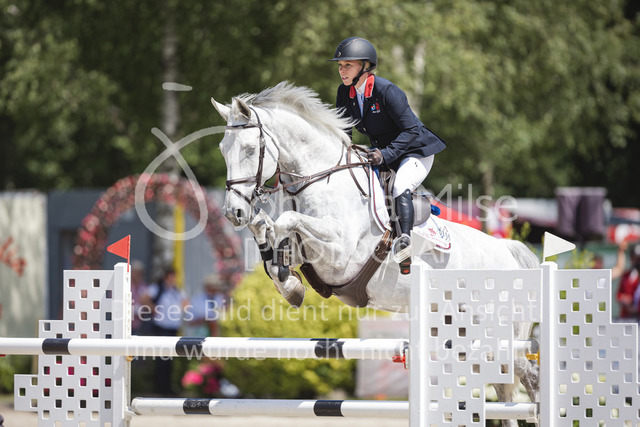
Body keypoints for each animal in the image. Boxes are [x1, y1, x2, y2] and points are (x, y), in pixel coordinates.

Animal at [211, 81, 539, 426]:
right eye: (222, 149)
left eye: (249, 149)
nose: (233, 212)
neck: (321, 178)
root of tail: (509, 251)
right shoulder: (311, 254)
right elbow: (271, 237)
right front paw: (290, 285)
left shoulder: (339, 253)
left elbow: (286, 221)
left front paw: (287, 278)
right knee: (503, 389)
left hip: (499, 335)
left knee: (528, 377)